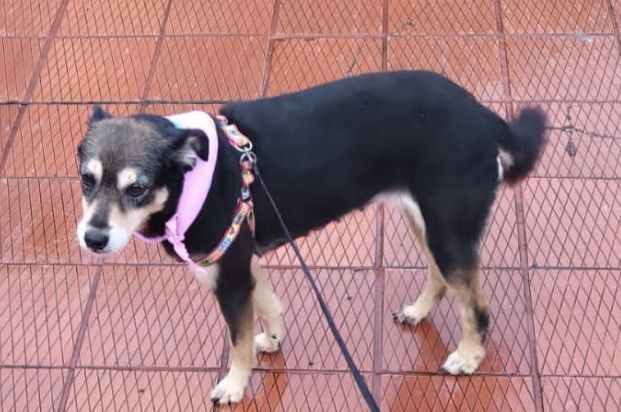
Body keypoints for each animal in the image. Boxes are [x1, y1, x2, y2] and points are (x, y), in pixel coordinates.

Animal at [76, 70, 545, 404]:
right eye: (86, 179)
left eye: (137, 188)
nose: (93, 238)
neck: (188, 179)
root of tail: (484, 115)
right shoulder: (244, 261)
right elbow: (269, 307)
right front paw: (272, 340)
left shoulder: (228, 276)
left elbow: (238, 341)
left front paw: (235, 384)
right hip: (429, 223)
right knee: (440, 277)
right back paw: (418, 311)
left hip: (449, 230)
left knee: (477, 308)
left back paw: (469, 356)